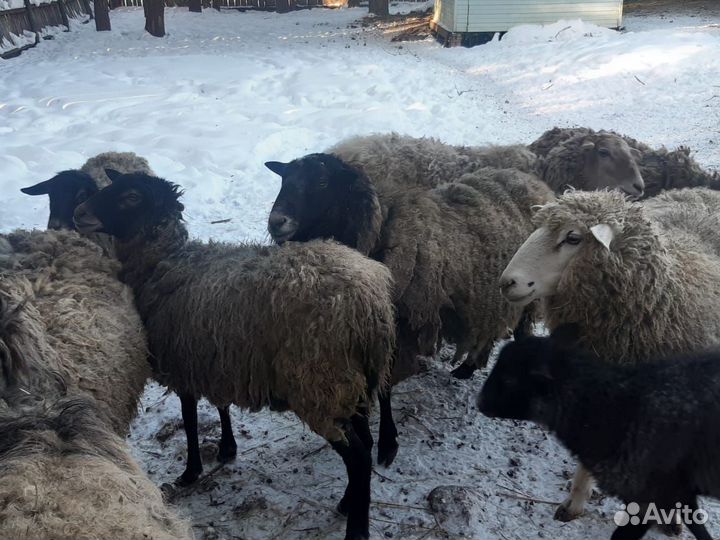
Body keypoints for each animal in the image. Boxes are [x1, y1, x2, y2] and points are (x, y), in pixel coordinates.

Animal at [73, 170, 396, 540]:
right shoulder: (217, 357)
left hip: (320, 383)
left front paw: (191, 472)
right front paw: (227, 449)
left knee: (357, 457)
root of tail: (369, 302)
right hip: (352, 382)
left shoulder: (185, 363)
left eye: (130, 197)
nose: (79, 212)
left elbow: (190, 419)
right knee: (365, 443)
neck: (164, 262)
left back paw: (356, 528)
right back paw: (348, 503)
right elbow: (222, 406)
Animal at [265, 154, 554, 467]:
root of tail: (531, 181)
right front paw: (365, 435)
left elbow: (385, 388)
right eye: (284, 179)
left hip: (527, 291)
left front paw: (387, 443)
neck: (379, 236)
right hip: (488, 297)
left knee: (522, 329)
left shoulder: (396, 330)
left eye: (321, 181)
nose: (276, 221)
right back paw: (468, 367)